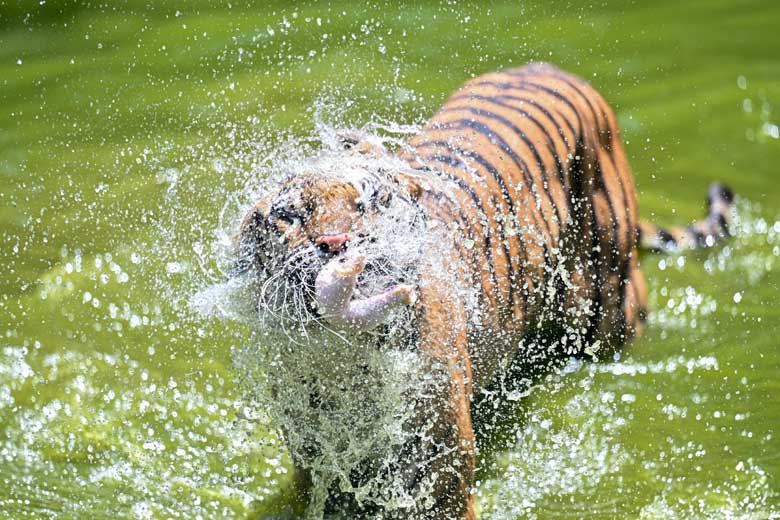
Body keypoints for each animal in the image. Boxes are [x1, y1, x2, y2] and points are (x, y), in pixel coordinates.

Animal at [235, 63, 736, 516]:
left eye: (372, 201)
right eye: (289, 215)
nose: (338, 244)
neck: (345, 361)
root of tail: (554, 70)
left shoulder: (439, 477)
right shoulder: (313, 465)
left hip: (605, 308)